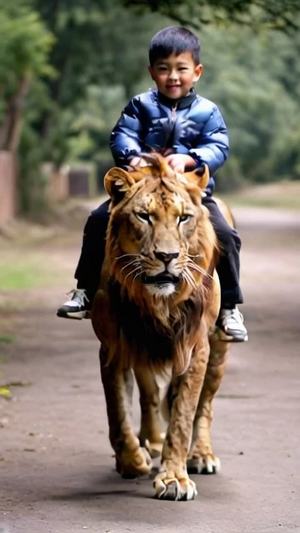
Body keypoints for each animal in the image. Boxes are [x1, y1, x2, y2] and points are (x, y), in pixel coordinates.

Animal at [92, 153, 231, 498]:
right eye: (144, 216)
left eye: (183, 218)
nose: (167, 256)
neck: (157, 302)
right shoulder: (114, 344)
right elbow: (117, 410)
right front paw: (131, 461)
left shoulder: (196, 346)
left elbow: (183, 413)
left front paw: (174, 479)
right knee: (150, 394)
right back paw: (151, 443)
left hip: (219, 351)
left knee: (205, 405)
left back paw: (202, 455)